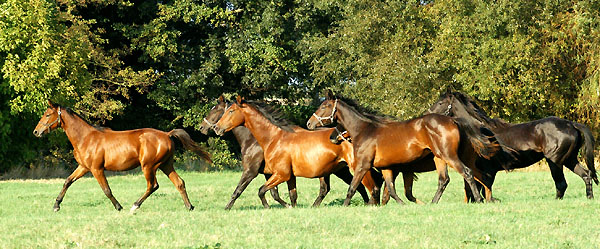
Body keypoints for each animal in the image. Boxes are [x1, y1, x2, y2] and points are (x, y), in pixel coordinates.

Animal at [33, 100, 211, 212]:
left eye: (47, 115)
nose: (36, 132)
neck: (85, 137)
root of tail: (167, 135)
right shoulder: (83, 167)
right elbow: (67, 182)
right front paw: (56, 206)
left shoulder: (96, 169)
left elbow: (106, 190)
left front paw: (118, 207)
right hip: (166, 165)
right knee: (179, 183)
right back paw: (189, 207)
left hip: (149, 166)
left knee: (153, 186)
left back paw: (135, 205)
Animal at [212, 96, 380, 207]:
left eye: (231, 111)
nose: (216, 128)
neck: (274, 138)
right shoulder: (289, 176)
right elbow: (291, 196)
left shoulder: (279, 174)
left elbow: (259, 190)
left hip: (357, 168)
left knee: (370, 187)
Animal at [308, 90, 500, 205]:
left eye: (325, 106)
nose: (309, 123)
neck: (365, 130)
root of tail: (454, 120)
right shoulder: (387, 167)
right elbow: (391, 191)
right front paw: (401, 204)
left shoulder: (362, 165)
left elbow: (352, 188)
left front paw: (346, 206)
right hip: (439, 157)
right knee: (446, 180)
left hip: (450, 156)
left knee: (469, 174)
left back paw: (479, 200)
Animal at [428, 90, 596, 199]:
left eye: (441, 102)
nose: (427, 113)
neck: (480, 134)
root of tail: (571, 124)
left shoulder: (488, 172)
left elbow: (485, 191)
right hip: (570, 160)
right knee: (586, 176)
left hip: (555, 161)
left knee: (561, 184)